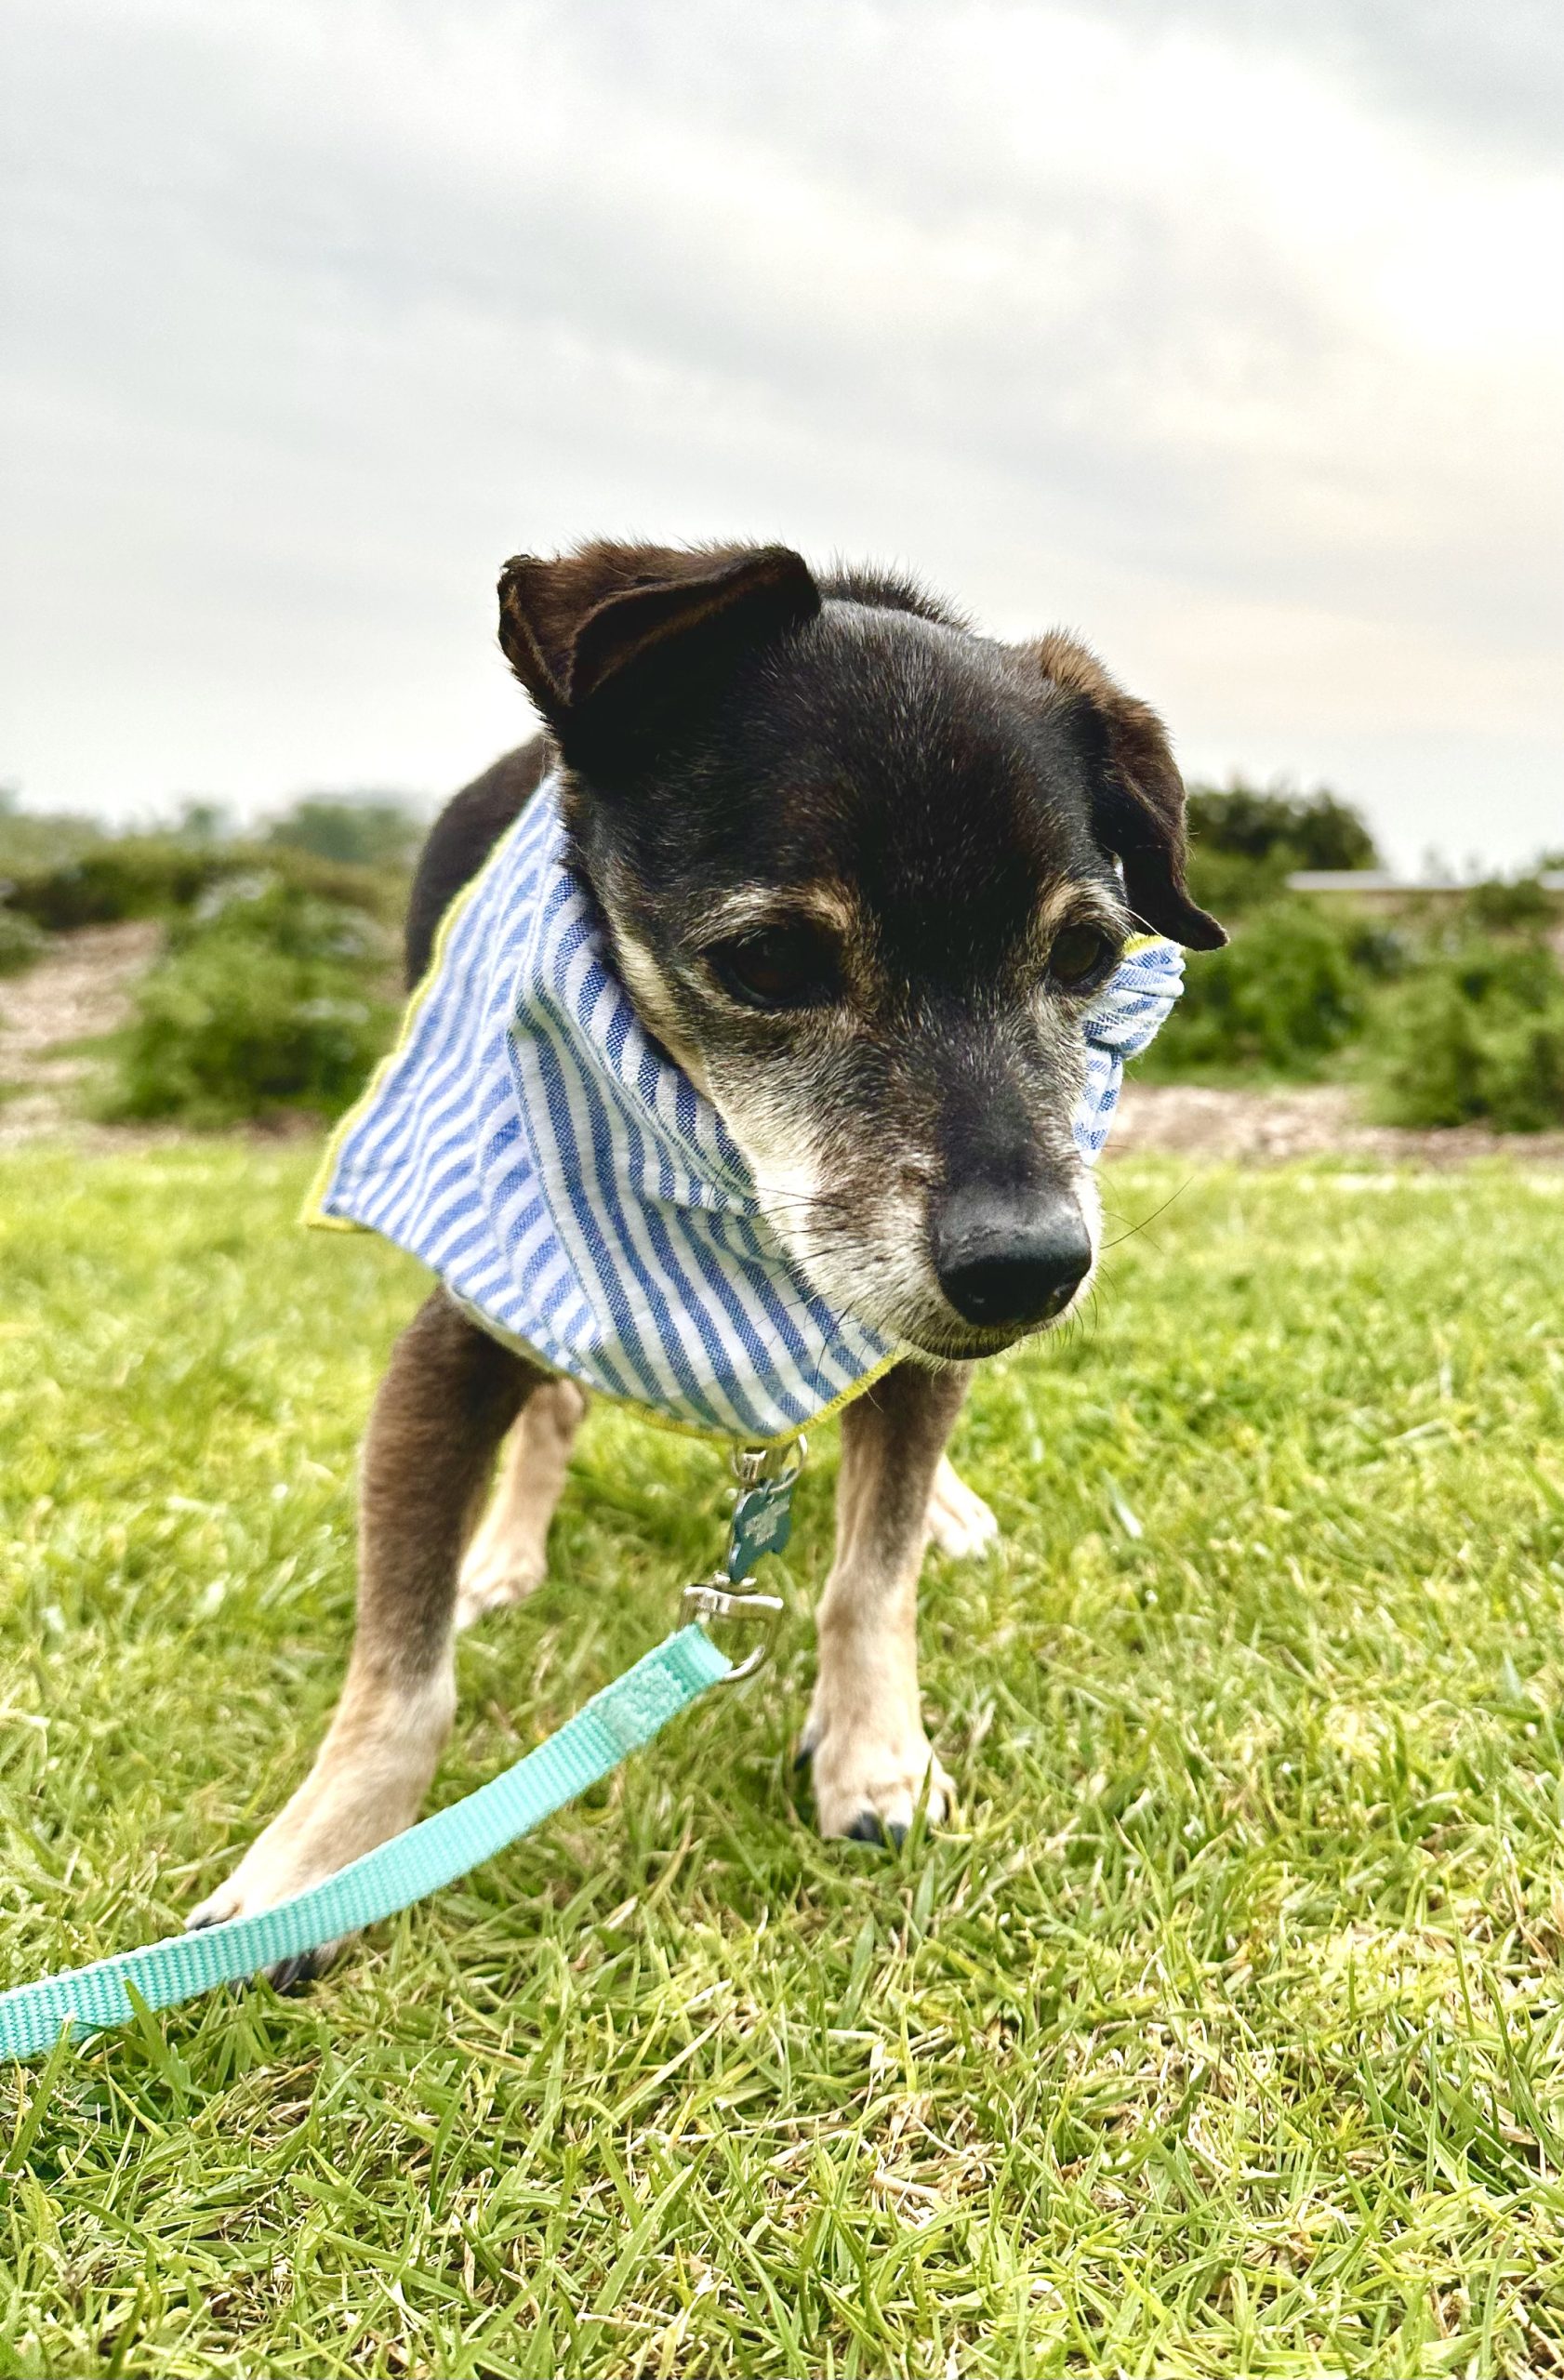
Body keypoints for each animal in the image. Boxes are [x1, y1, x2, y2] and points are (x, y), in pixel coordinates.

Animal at [192, 545, 1218, 1970]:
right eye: (770, 960)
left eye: (1087, 954)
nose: (1030, 1266)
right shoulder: (452, 1341)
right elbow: (398, 1672)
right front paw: (321, 1859)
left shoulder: (905, 1344)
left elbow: (870, 1573)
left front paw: (871, 1754)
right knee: (557, 1410)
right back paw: (503, 1552)